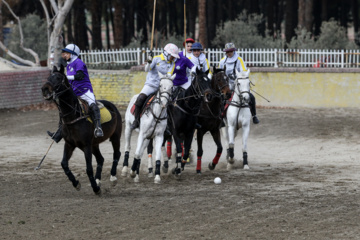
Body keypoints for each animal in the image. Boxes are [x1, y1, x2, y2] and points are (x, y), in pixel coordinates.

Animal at [41, 66, 121, 195]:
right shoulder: (69, 144)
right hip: (94, 144)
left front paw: (95, 189)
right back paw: (98, 180)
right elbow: (64, 164)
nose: (44, 89)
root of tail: (112, 105)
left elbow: (88, 169)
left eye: (58, 78)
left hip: (115, 136)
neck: (73, 116)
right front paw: (76, 183)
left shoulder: (86, 145)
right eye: (49, 77)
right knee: (100, 159)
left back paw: (113, 178)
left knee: (116, 153)